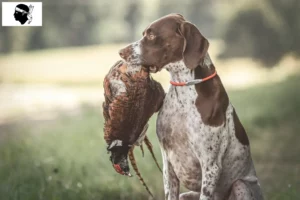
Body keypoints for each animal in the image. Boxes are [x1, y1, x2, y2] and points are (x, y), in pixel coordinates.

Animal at [118, 14, 264, 200]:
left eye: (151, 35)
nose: (121, 52)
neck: (184, 89)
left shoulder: (210, 166)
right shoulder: (168, 164)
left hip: (241, 186)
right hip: (186, 194)